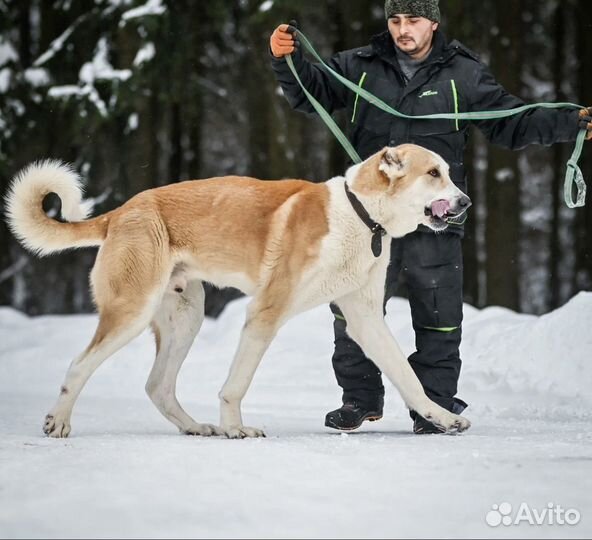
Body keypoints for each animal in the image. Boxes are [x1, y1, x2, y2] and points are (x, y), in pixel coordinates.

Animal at [5, 144, 472, 438]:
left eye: (448, 173)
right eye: (434, 173)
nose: (466, 202)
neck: (361, 216)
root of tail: (121, 212)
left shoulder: (365, 319)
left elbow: (409, 378)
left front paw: (441, 418)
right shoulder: (265, 313)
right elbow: (236, 384)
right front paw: (235, 428)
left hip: (186, 318)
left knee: (157, 385)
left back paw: (194, 427)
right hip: (132, 311)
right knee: (78, 365)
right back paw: (58, 422)